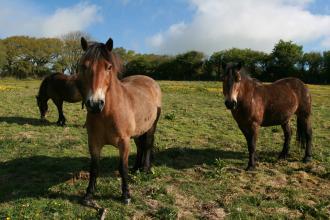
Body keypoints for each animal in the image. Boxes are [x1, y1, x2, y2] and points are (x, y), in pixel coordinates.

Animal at [76, 36, 161, 205]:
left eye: (108, 67)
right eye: (84, 66)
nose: (95, 104)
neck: (107, 114)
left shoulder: (124, 142)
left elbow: (122, 168)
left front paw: (126, 195)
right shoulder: (93, 142)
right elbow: (94, 168)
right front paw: (88, 195)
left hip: (151, 127)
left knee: (147, 145)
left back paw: (145, 169)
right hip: (138, 131)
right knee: (140, 146)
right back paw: (136, 168)